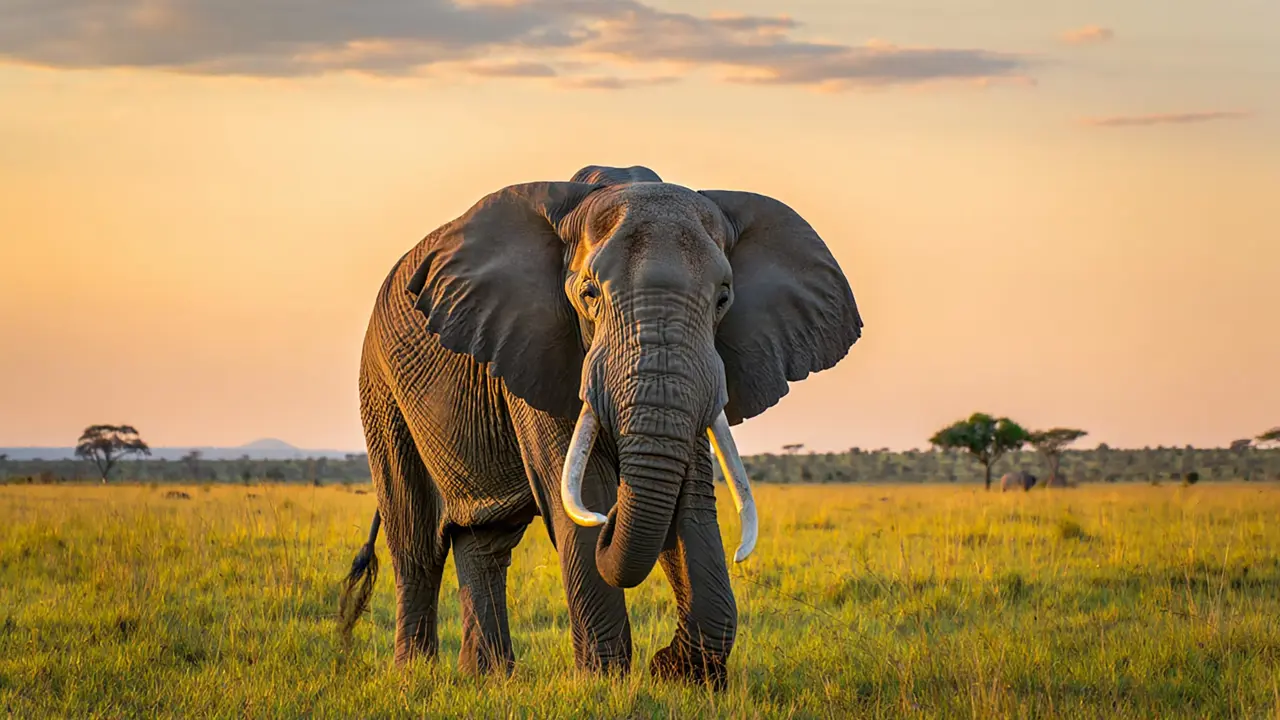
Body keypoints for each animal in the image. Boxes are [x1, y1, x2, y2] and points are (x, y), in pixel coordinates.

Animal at [336, 164, 862, 689]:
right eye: (589, 295)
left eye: (723, 299)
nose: (662, 658)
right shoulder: (539, 346)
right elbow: (580, 492)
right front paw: (605, 684)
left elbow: (688, 501)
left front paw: (683, 677)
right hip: (381, 387)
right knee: (417, 543)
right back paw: (415, 677)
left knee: (485, 541)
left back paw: (488, 679)